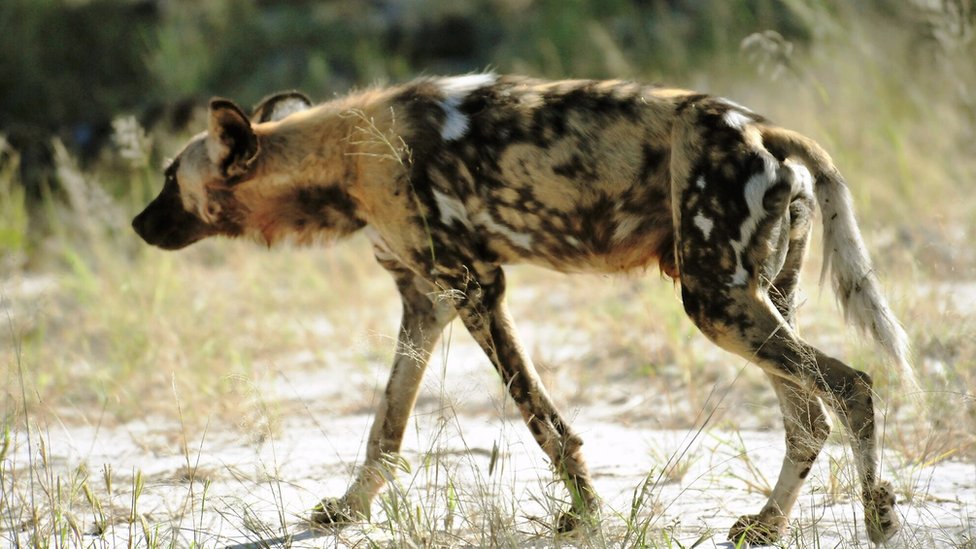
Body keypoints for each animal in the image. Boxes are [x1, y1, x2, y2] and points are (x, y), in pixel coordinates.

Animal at [133, 74, 912, 544]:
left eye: (170, 179)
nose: (138, 224)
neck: (347, 152)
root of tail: (762, 129)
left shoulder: (474, 288)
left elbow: (540, 419)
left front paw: (586, 511)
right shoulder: (425, 300)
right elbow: (386, 426)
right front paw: (349, 509)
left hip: (717, 303)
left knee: (851, 386)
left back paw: (878, 517)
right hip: (756, 300)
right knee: (807, 417)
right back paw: (767, 524)